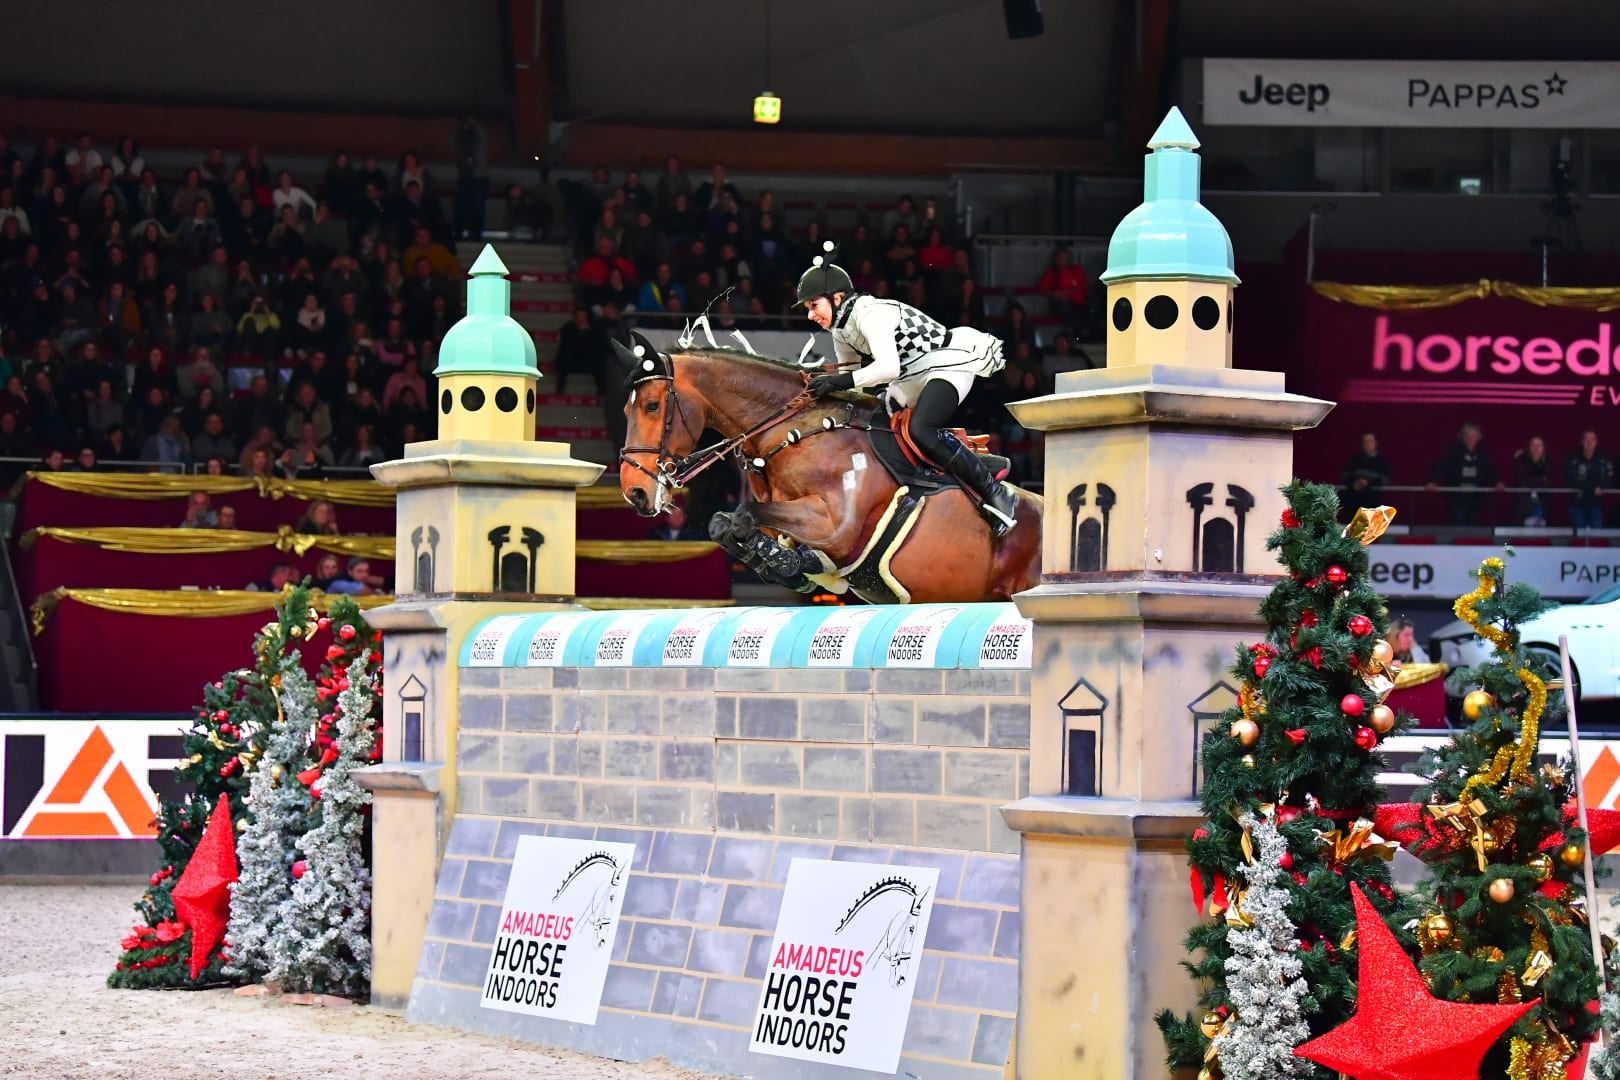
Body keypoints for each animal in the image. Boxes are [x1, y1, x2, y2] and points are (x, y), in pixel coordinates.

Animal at [612, 333, 1043, 605]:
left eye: (652, 405)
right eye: (625, 411)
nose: (634, 491)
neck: (792, 431)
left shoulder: (834, 523)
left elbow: (744, 515)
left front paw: (787, 563)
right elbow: (726, 524)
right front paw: (790, 564)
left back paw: (1001, 503)